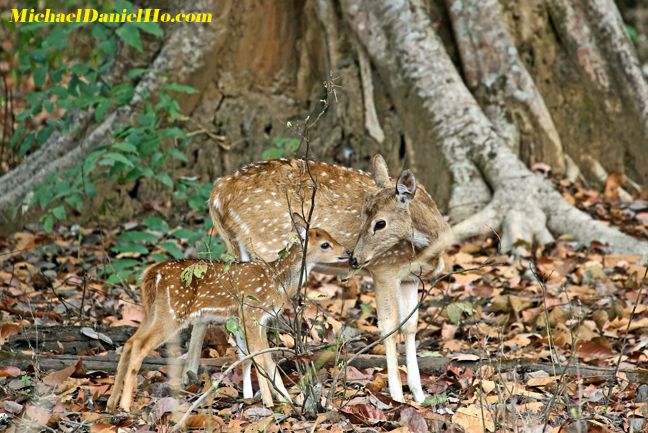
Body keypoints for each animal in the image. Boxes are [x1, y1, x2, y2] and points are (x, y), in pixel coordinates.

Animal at [107, 214, 350, 410]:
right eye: (325, 244)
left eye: (332, 237)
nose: (347, 252)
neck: (277, 282)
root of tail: (152, 273)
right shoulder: (252, 315)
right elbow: (260, 357)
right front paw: (271, 402)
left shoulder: (253, 320)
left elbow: (258, 357)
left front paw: (280, 399)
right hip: (172, 313)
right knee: (139, 345)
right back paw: (126, 405)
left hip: (152, 311)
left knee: (129, 342)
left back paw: (111, 403)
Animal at [187, 154, 450, 402]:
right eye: (363, 216)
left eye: (380, 223)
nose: (354, 258)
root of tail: (216, 194)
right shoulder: (385, 269)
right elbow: (389, 326)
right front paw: (397, 396)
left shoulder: (410, 278)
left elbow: (410, 327)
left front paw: (419, 395)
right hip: (265, 248)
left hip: (238, 251)